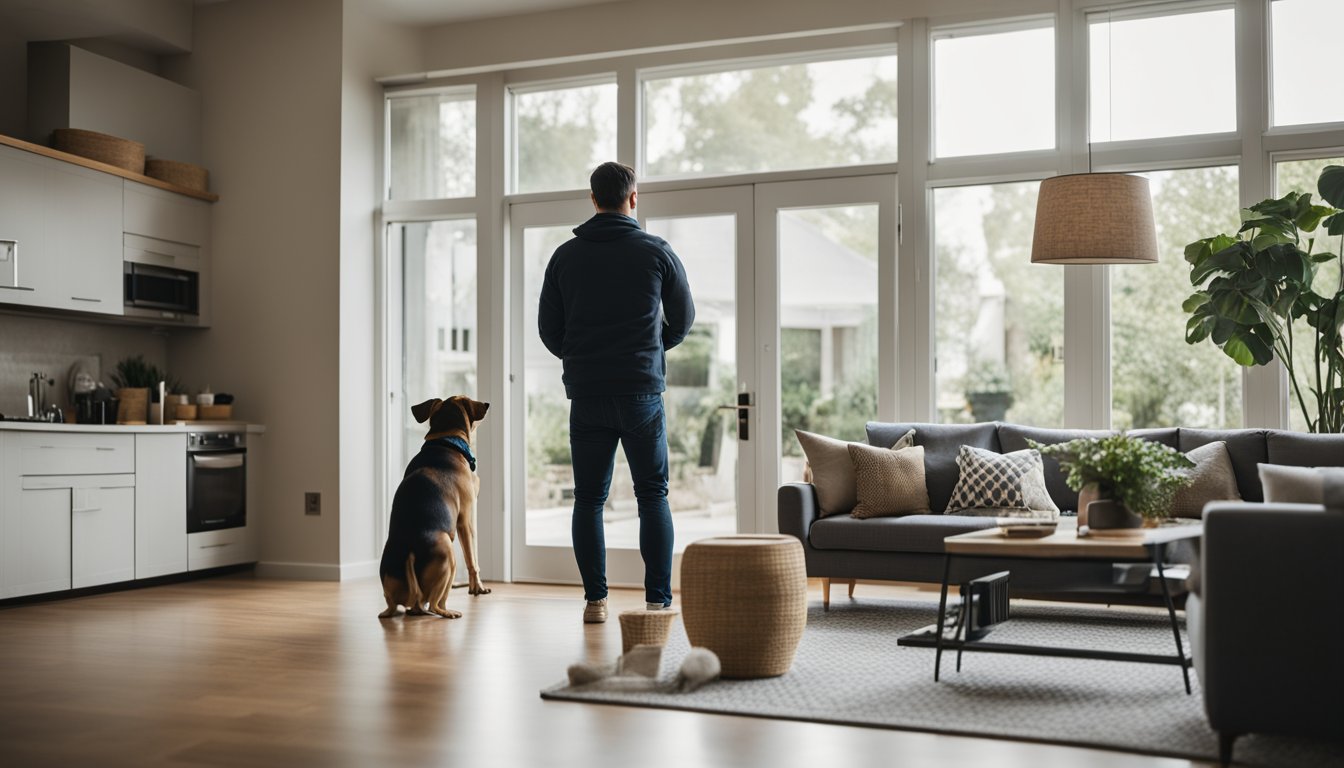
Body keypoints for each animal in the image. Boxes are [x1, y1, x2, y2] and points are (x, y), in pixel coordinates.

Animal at [381, 395, 491, 618]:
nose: (486, 404)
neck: (446, 441)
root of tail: (409, 553)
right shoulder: (466, 519)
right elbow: (473, 560)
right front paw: (477, 588)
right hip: (448, 551)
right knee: (434, 604)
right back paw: (449, 612)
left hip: (392, 591)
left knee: (400, 606)